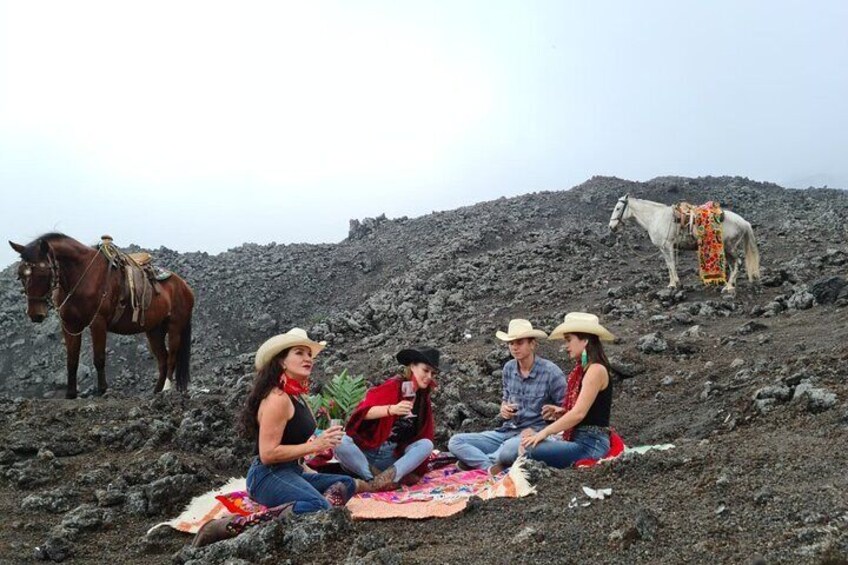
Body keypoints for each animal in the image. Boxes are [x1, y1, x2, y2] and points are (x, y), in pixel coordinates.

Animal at [8, 231, 195, 398]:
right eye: (20, 275)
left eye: (42, 273)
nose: (35, 314)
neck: (82, 276)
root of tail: (185, 286)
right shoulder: (69, 326)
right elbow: (72, 360)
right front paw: (70, 394)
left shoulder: (97, 322)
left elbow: (98, 358)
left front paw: (102, 390)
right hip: (154, 330)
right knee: (162, 359)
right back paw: (156, 391)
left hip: (175, 327)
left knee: (171, 357)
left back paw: (166, 389)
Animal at [608, 193, 760, 290]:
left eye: (618, 208)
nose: (611, 227)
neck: (656, 217)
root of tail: (744, 222)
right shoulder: (663, 248)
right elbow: (669, 265)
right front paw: (673, 283)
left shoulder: (668, 246)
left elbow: (671, 264)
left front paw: (674, 284)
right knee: (734, 265)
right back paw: (731, 284)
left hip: (729, 247)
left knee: (737, 264)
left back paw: (728, 287)